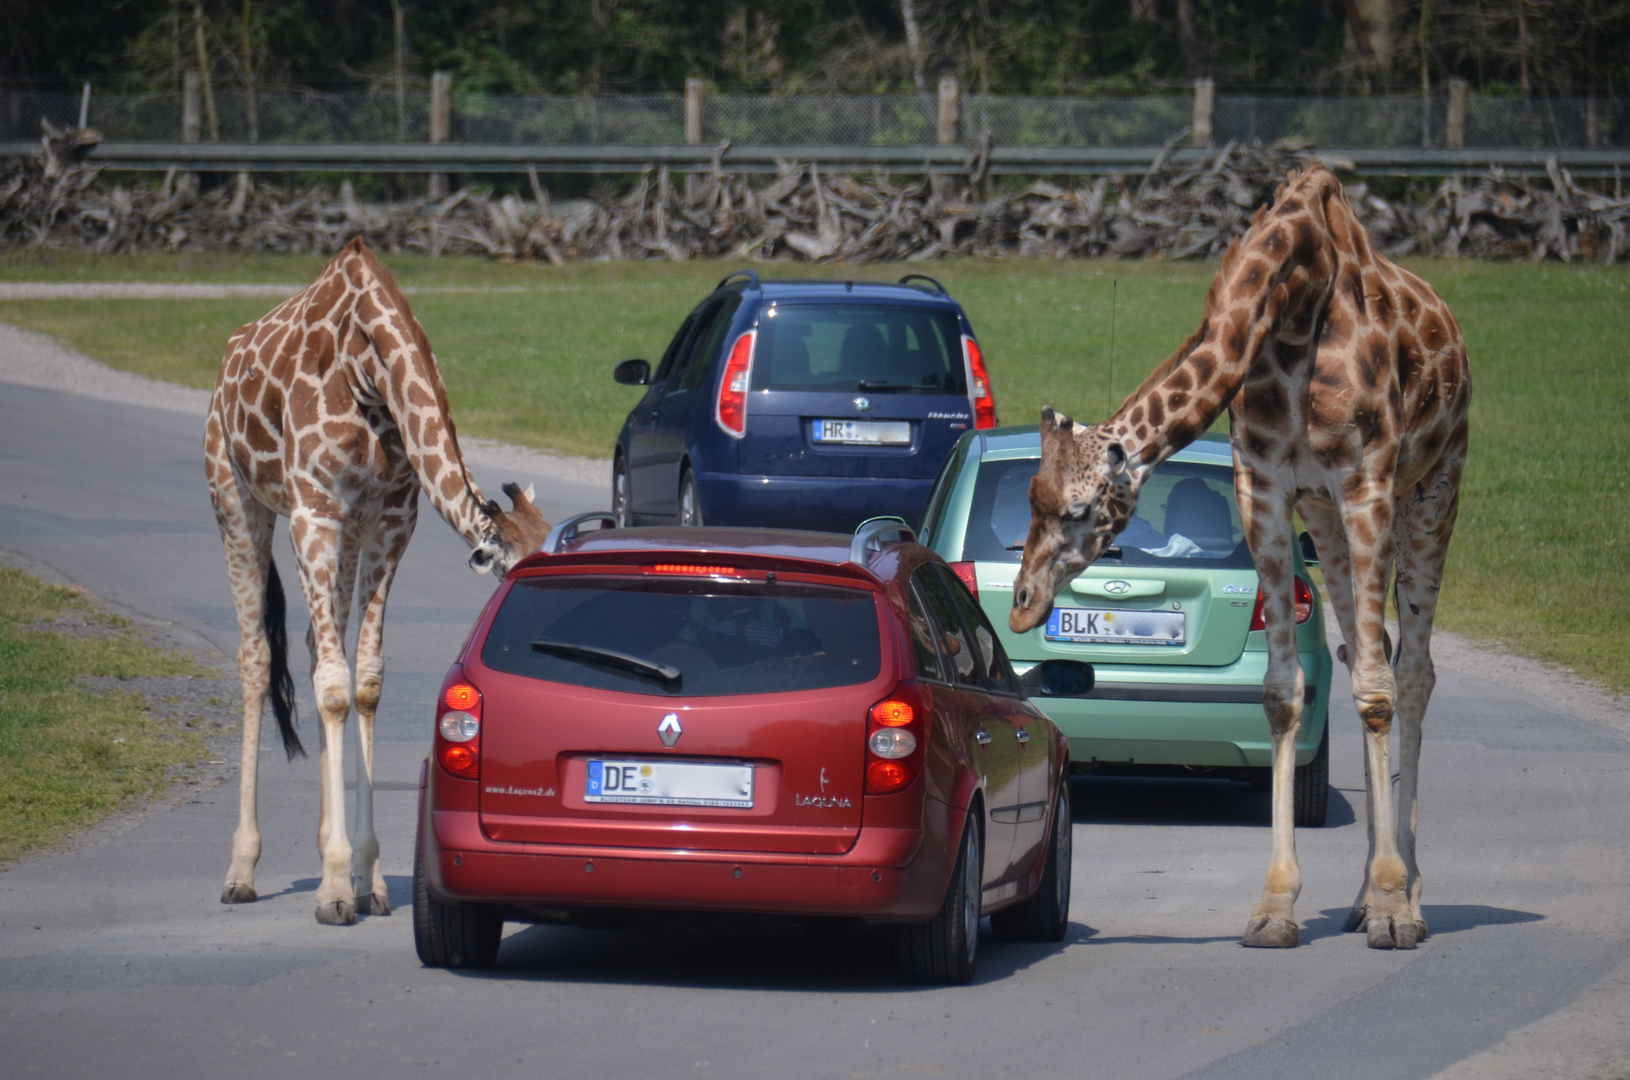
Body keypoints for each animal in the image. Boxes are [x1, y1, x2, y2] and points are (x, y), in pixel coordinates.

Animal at [201, 239, 547, 931]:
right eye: (512, 576)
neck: (369, 368)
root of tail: (228, 361)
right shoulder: (315, 511)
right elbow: (335, 687)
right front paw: (336, 888)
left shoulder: (389, 519)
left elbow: (362, 682)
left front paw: (368, 878)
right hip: (235, 497)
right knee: (257, 656)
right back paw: (241, 872)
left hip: (343, 534)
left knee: (314, 647)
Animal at [1010, 164, 1473, 951]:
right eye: (1030, 501)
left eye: (1076, 510)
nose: (1021, 606)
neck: (1292, 306)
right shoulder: (1268, 484)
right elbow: (1284, 693)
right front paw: (1276, 907)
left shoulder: (1365, 481)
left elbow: (1377, 690)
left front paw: (1391, 906)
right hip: (1327, 517)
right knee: (1367, 654)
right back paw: (1356, 901)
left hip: (1434, 485)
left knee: (1412, 673)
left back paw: (1406, 898)